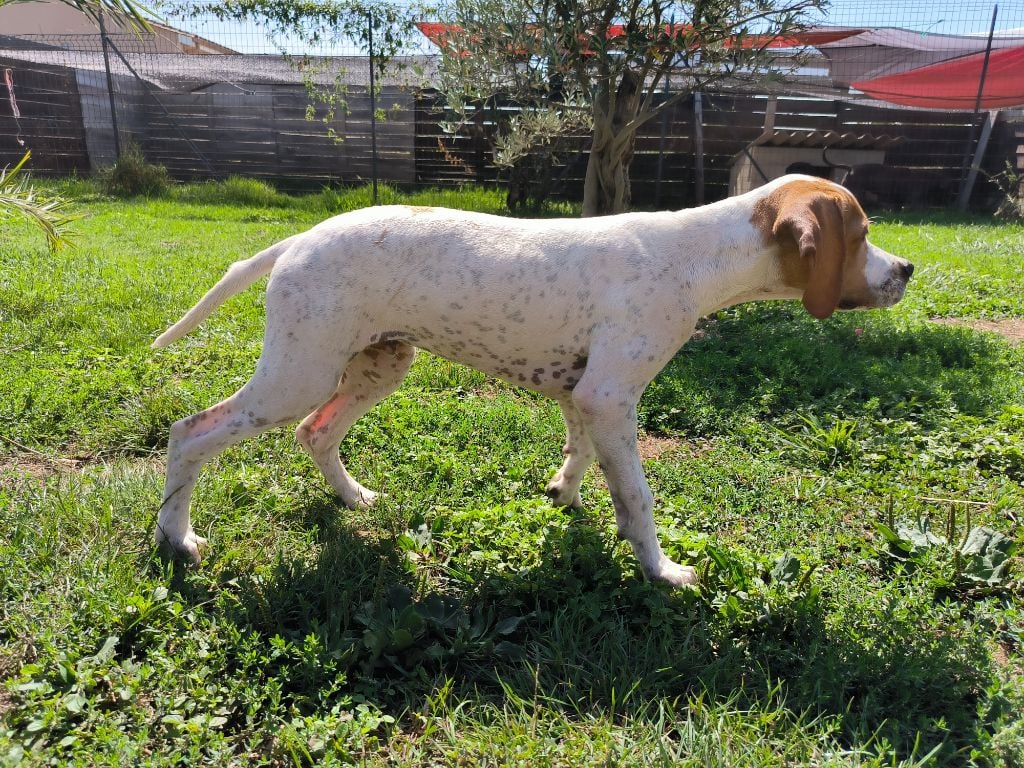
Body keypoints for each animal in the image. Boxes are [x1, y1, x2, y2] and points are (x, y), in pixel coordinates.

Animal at [149, 174, 913, 585]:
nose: (906, 269)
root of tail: (300, 238)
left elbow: (579, 455)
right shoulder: (611, 398)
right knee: (190, 433)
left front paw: (564, 497)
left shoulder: (584, 395)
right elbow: (638, 500)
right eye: (863, 232)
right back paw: (177, 539)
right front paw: (660, 571)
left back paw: (354, 499)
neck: (696, 256)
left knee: (316, 433)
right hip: (297, 374)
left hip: (378, 364)